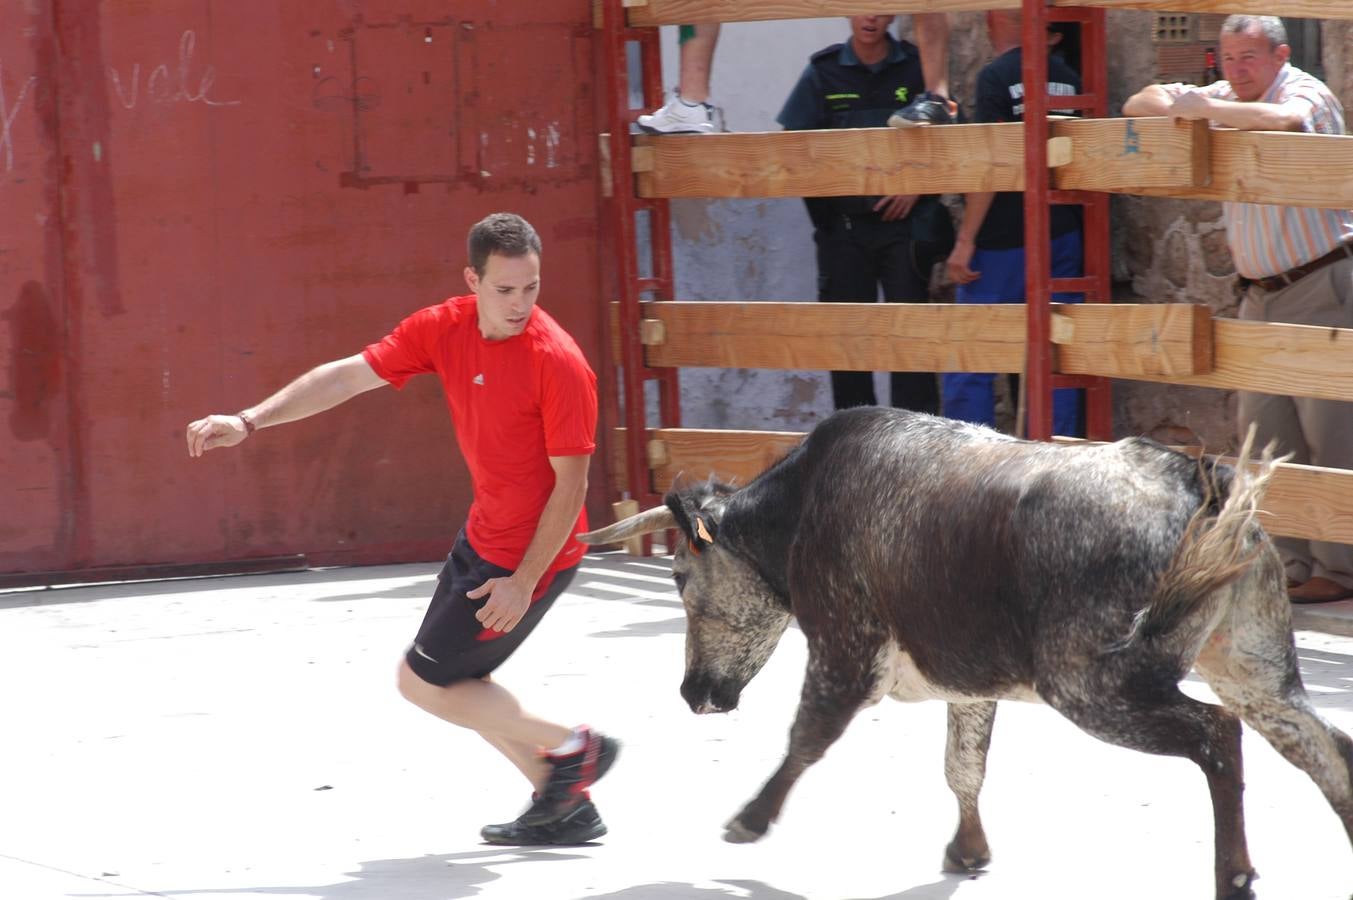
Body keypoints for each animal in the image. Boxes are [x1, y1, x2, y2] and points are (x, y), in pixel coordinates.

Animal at [581, 408, 1353, 898]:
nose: (693, 693)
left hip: (1091, 684)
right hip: (1250, 665)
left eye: (679, 579)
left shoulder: (843, 650)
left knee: (1216, 736)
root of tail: (1199, 482)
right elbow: (963, 764)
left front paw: (748, 821)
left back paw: (1234, 877)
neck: (798, 510)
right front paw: (968, 851)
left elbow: (808, 737)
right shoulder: (969, 680)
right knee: (1320, 742)